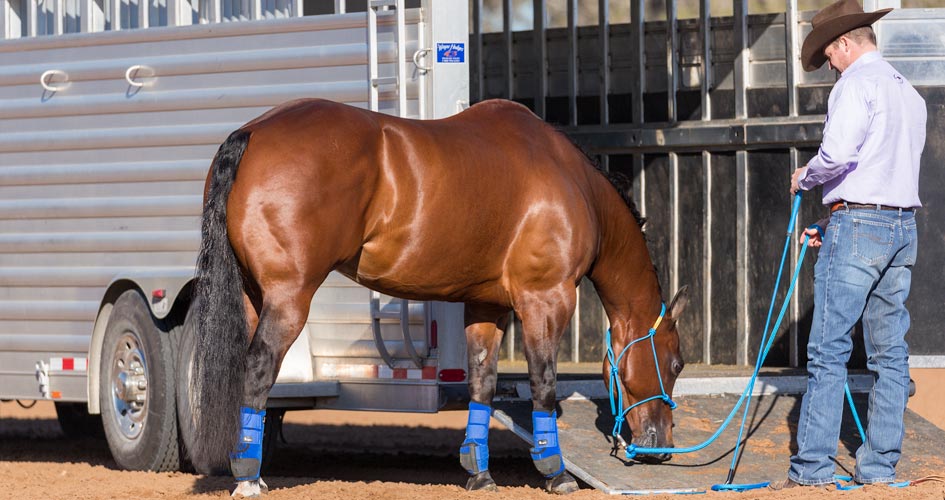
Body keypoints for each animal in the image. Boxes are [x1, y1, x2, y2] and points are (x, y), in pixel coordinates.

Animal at [189, 98, 689, 496]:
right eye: (676, 363)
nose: (662, 446)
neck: (574, 183)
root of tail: (253, 134)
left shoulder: (487, 306)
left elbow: (482, 382)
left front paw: (478, 473)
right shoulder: (545, 301)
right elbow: (543, 383)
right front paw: (555, 472)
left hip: (255, 298)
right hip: (290, 299)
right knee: (258, 369)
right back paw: (248, 477)